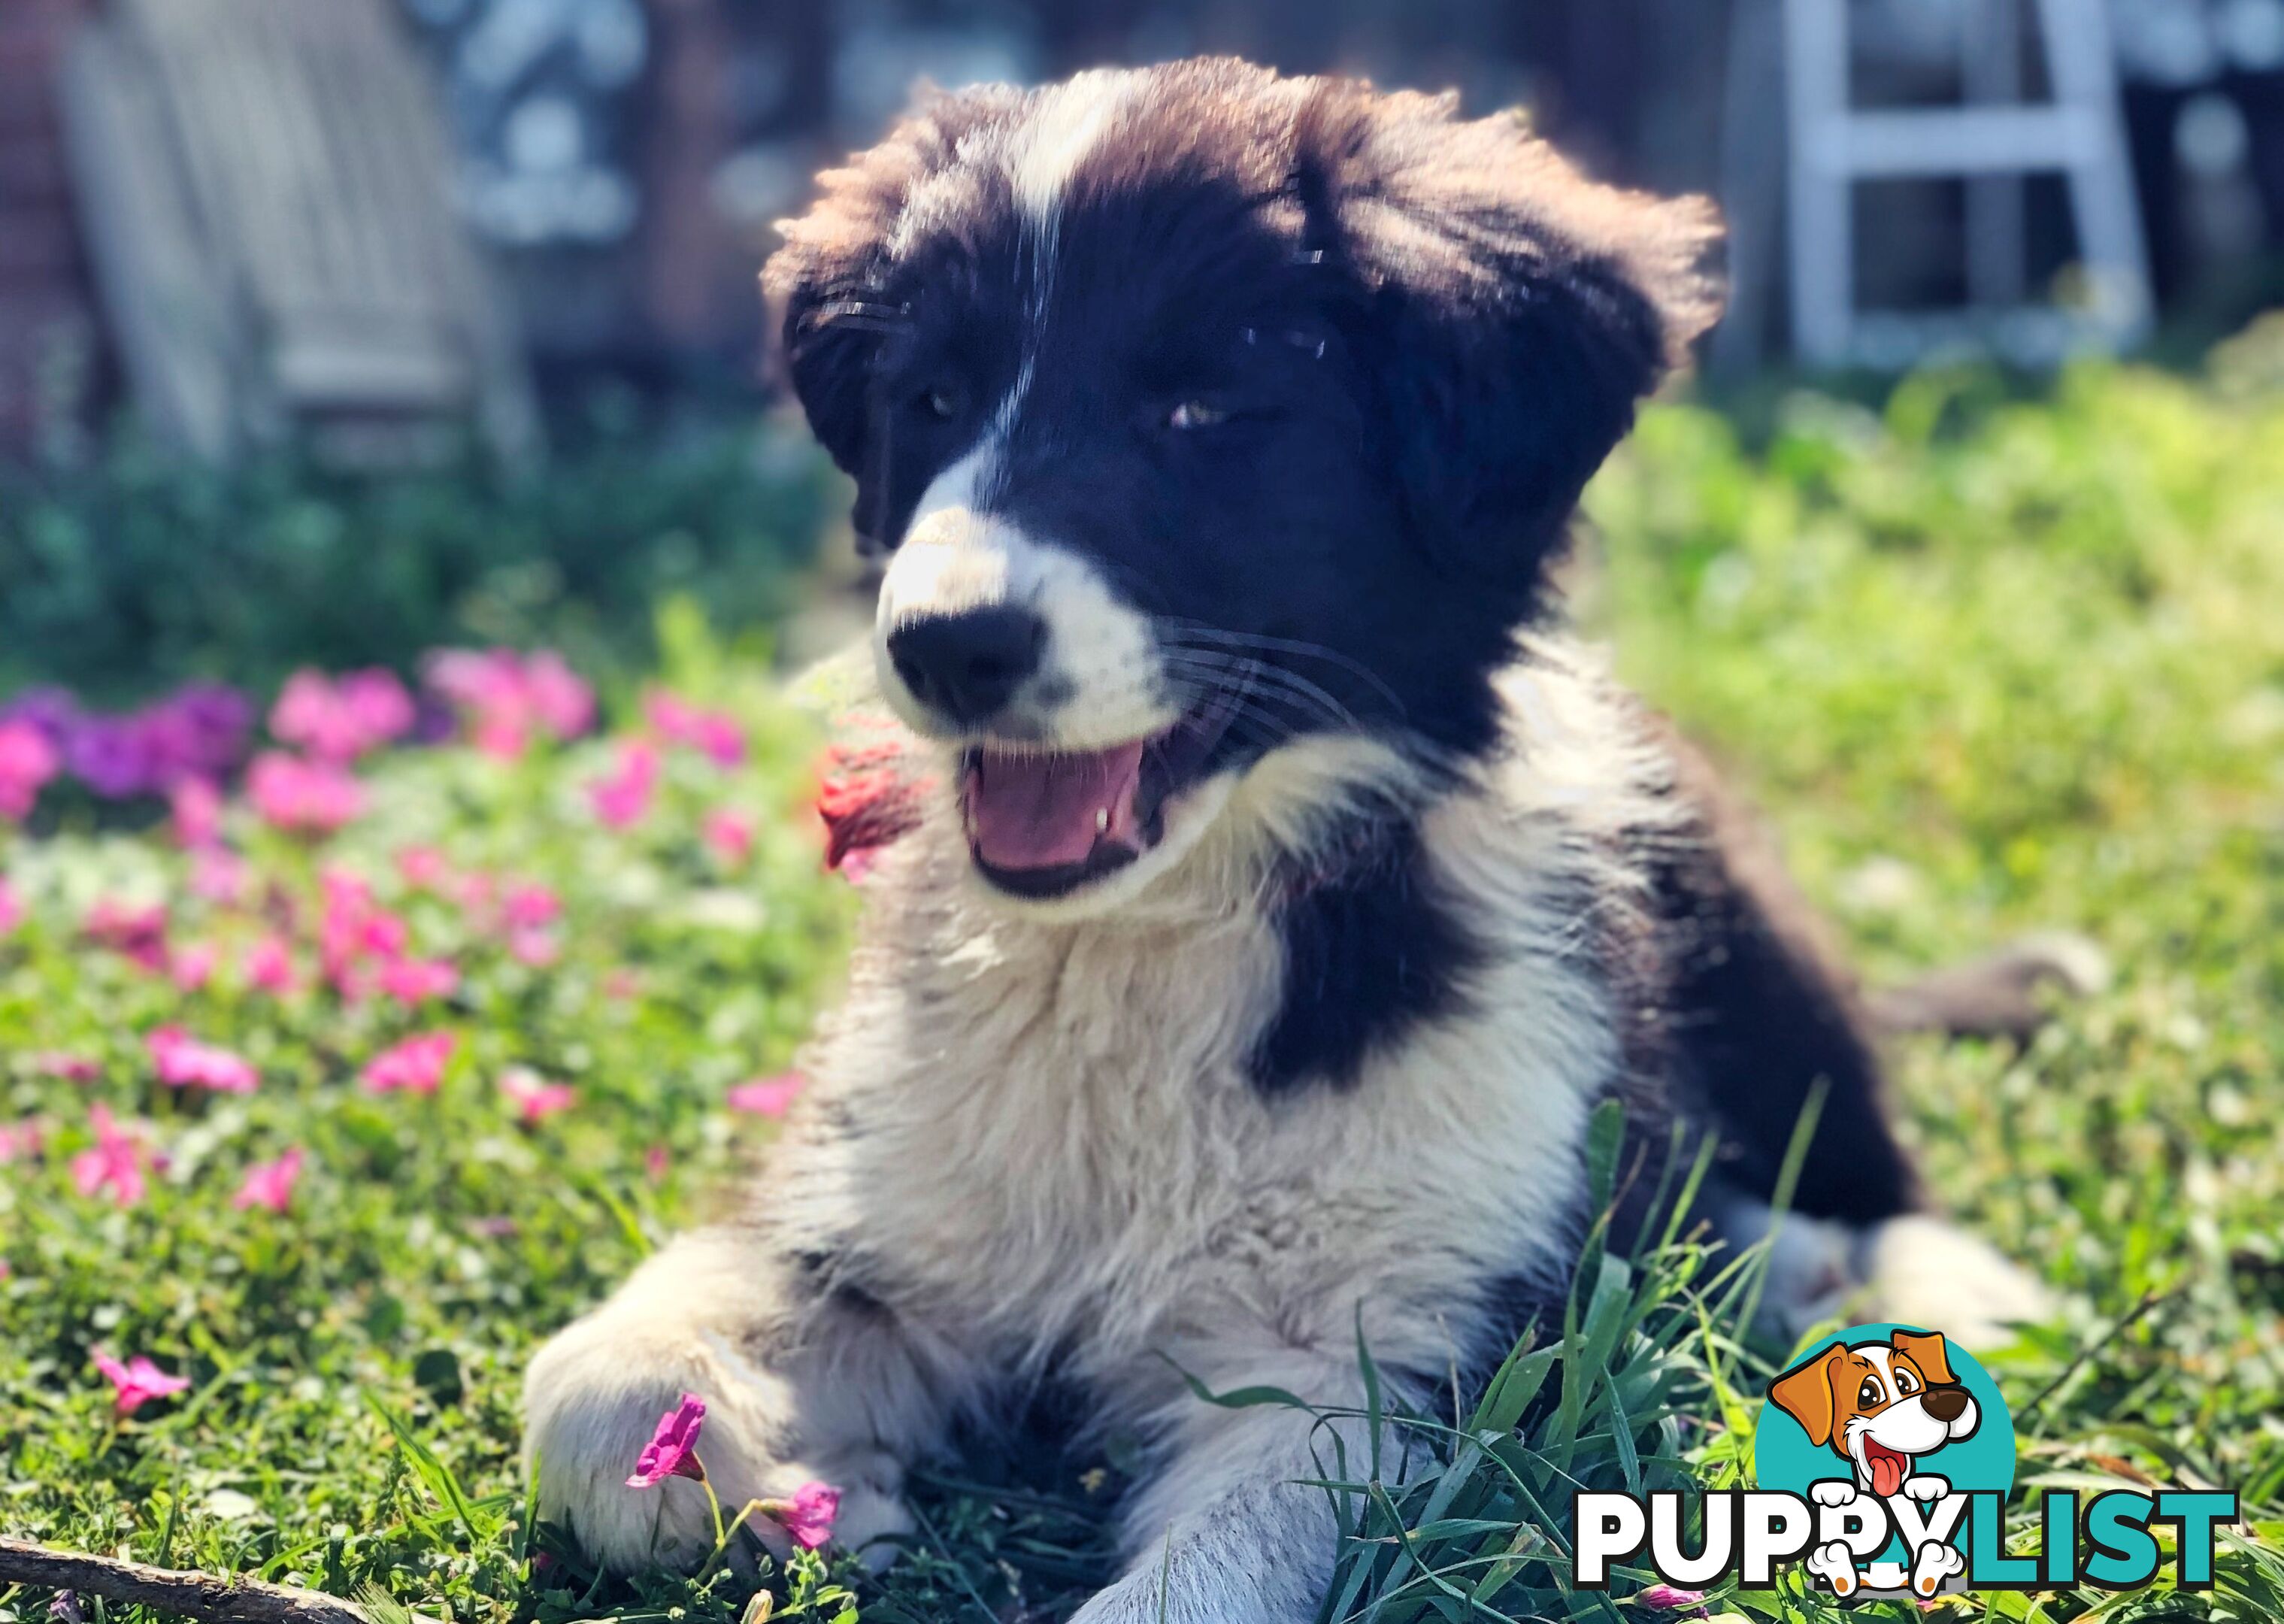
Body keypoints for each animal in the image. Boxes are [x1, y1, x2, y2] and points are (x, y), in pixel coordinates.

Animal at [525, 56, 2046, 1616]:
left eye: (1200, 411)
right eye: (931, 399)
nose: (943, 647)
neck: (1162, 929)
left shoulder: (1374, 1363)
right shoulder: (890, 1199)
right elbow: (589, 1384)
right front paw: (783, 1494)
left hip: (1736, 910)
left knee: (1840, 1141)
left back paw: (1907, 1289)